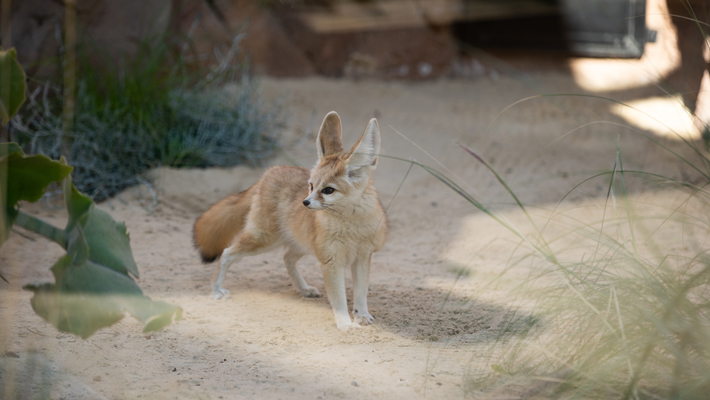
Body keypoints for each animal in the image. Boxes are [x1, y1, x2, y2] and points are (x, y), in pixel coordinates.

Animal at [192, 111, 386, 330]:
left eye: (328, 190)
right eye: (311, 186)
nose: (305, 202)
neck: (353, 227)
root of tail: (270, 171)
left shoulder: (362, 258)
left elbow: (361, 293)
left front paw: (362, 315)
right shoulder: (332, 262)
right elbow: (339, 299)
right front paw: (345, 323)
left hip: (301, 244)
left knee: (287, 258)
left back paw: (304, 289)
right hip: (263, 240)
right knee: (227, 253)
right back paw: (216, 289)